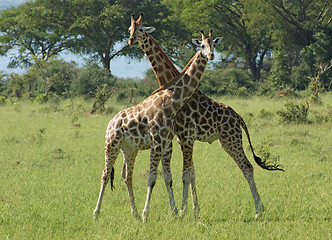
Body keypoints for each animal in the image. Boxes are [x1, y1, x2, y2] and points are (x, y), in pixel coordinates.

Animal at [92, 29, 220, 222]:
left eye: (214, 45)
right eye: (202, 45)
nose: (211, 55)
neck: (171, 102)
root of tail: (111, 121)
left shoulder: (166, 143)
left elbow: (168, 178)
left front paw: (173, 212)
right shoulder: (157, 142)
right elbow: (151, 179)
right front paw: (147, 214)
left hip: (129, 149)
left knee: (127, 176)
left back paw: (134, 213)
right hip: (111, 144)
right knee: (105, 174)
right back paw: (96, 213)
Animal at [128, 13, 284, 219]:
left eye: (141, 29)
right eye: (130, 29)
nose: (130, 40)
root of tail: (239, 118)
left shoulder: (185, 136)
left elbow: (186, 174)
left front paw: (183, 211)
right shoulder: (180, 137)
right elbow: (190, 173)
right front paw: (194, 210)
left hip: (230, 139)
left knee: (247, 167)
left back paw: (259, 210)